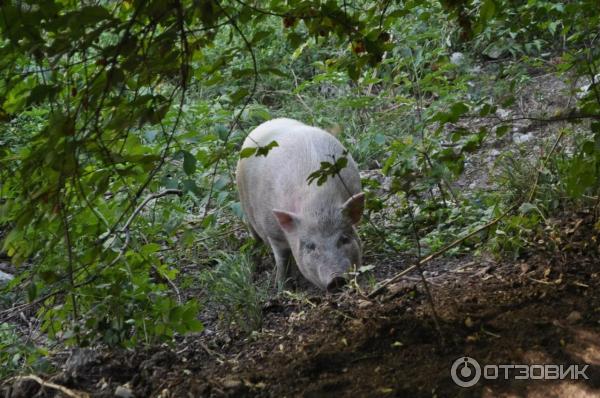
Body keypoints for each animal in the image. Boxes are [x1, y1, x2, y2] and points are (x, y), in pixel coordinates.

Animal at [237, 118, 364, 292]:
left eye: (344, 238)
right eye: (310, 246)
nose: (337, 279)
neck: (318, 204)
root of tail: (266, 123)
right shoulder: (273, 233)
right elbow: (282, 259)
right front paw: (283, 288)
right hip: (245, 207)